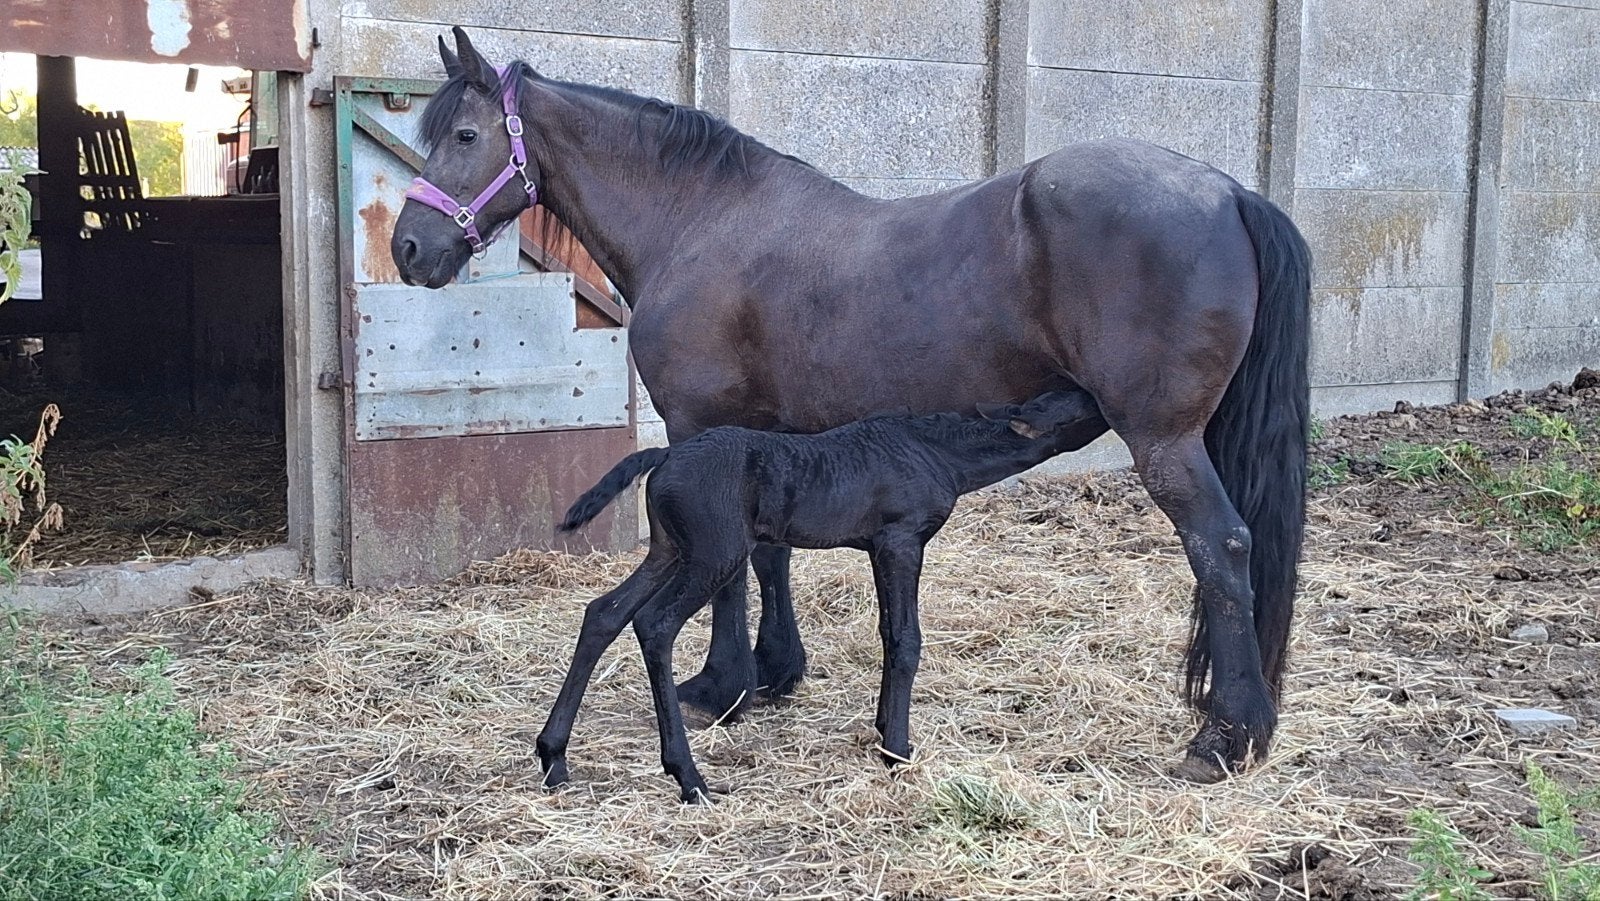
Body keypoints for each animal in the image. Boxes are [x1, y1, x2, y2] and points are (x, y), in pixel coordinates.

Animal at [390, 26, 1312, 782]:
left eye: (465, 136)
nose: (408, 248)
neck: (699, 220)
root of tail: (1228, 191)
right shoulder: (767, 440)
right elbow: (770, 556)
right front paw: (774, 671)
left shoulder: (703, 427)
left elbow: (735, 575)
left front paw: (721, 686)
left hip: (1164, 439)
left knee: (1222, 548)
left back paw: (1223, 737)